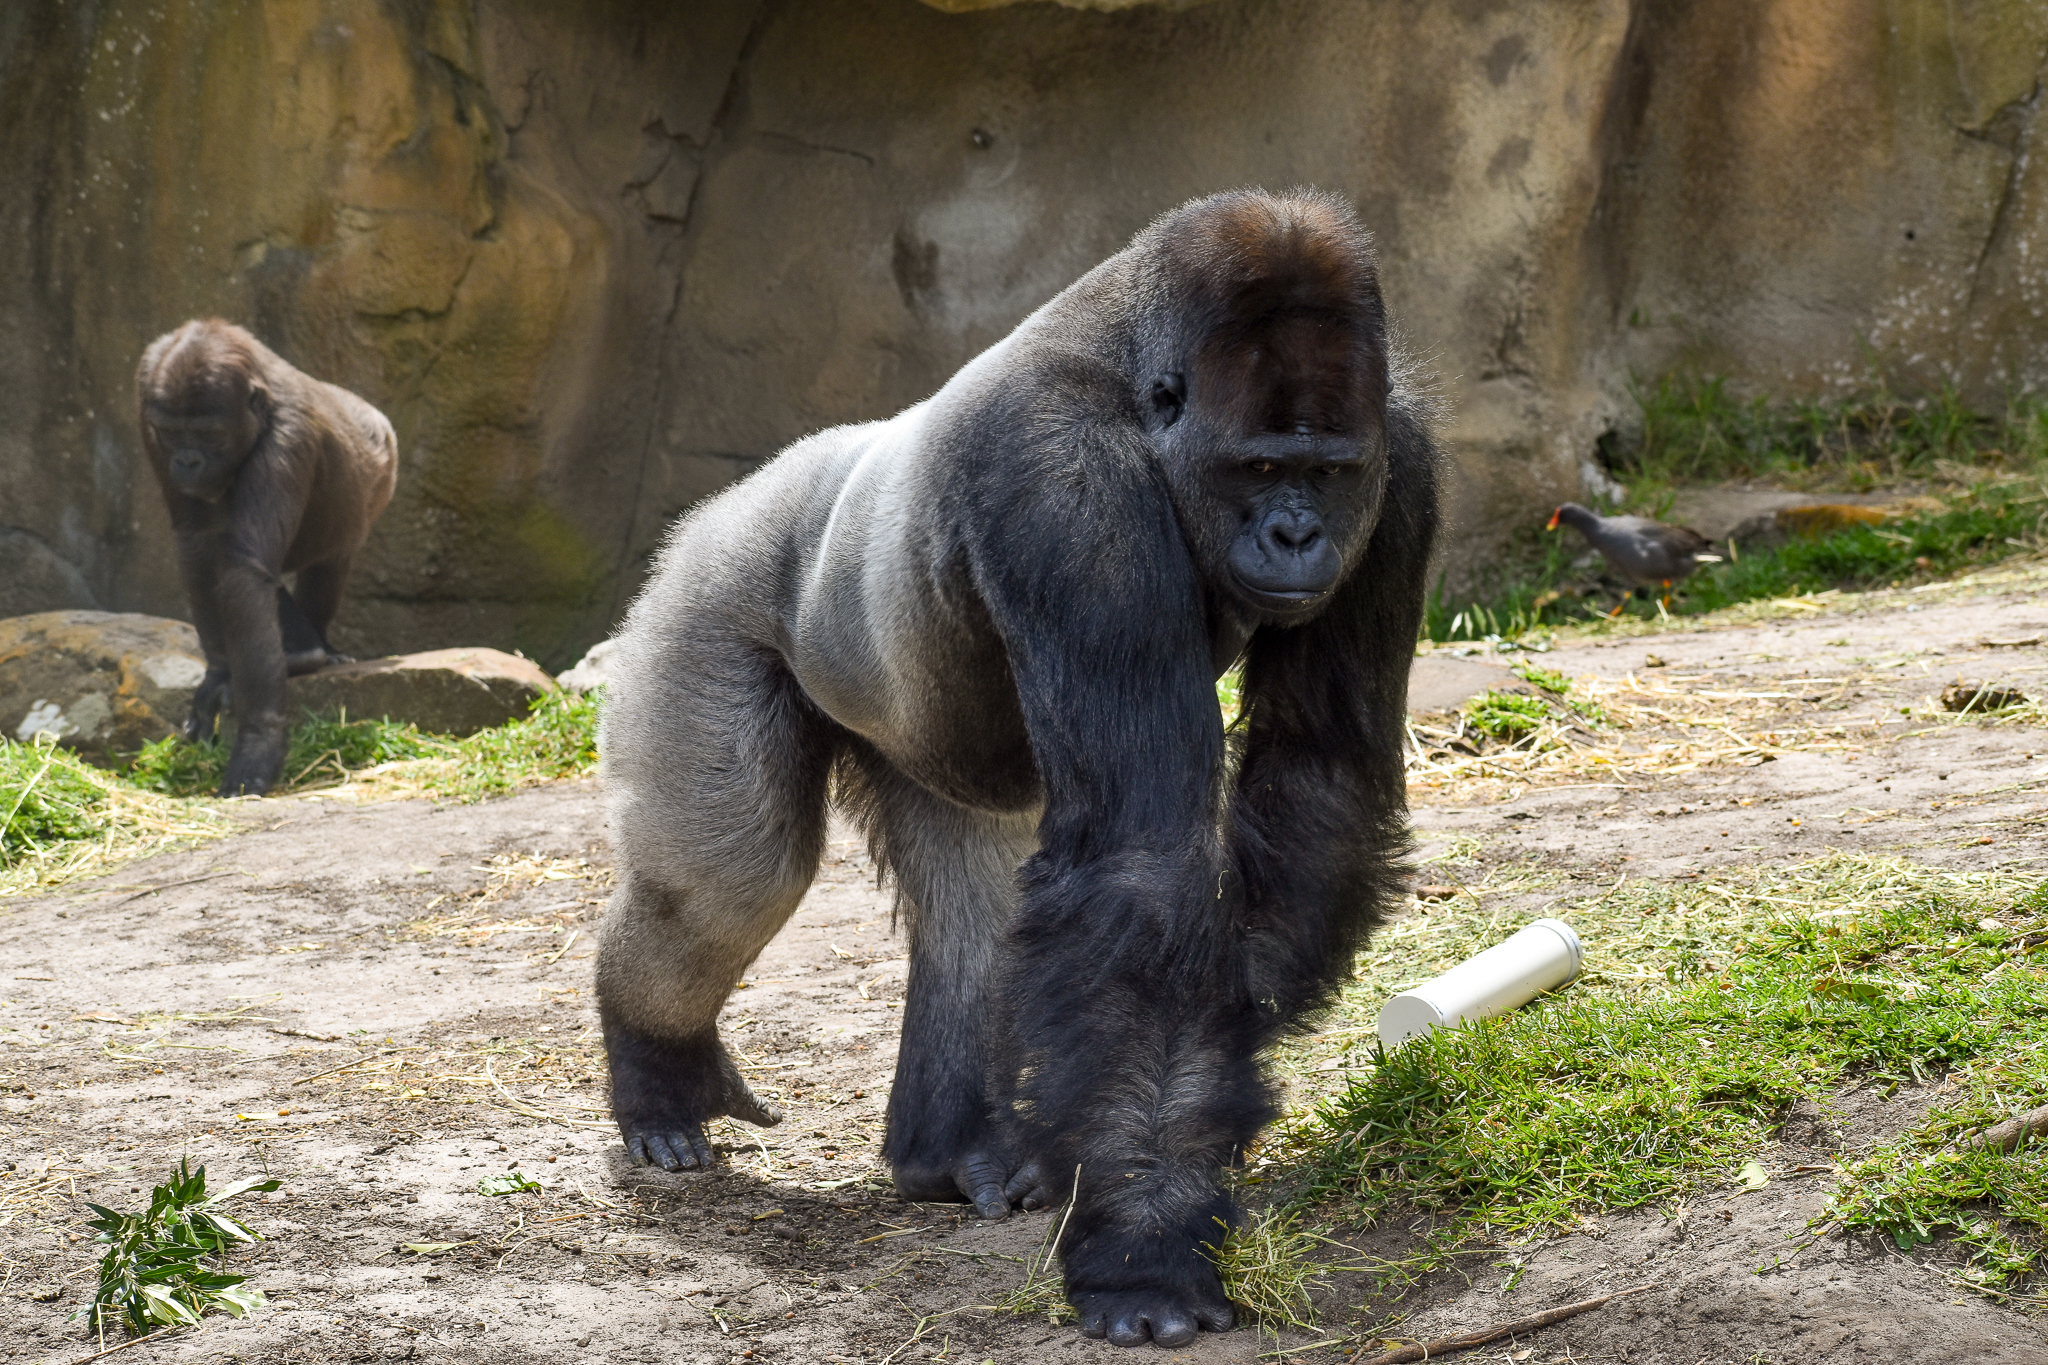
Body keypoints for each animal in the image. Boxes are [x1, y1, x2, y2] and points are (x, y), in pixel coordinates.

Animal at [137, 320, 398, 796]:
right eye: (170, 432)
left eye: (210, 435)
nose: (187, 461)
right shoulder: (145, 392)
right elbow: (200, 542)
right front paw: (221, 671)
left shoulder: (287, 438)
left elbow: (243, 572)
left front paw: (260, 739)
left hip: (379, 468)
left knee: (327, 563)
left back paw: (313, 650)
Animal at [594, 189, 1441, 1347]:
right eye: (1262, 469)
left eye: (1328, 471)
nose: (1296, 535)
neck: (1144, 389)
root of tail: (745, 490)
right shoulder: (1068, 484)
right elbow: (1143, 867)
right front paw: (1144, 1248)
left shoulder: (1400, 468)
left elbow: (1318, 783)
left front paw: (1220, 1054)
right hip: (711, 586)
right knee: (730, 878)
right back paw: (656, 1066)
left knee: (971, 892)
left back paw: (951, 1149)